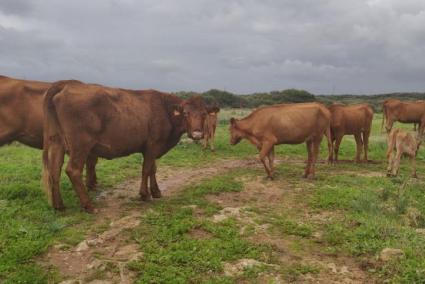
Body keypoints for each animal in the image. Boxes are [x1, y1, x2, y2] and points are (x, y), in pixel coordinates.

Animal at [41, 80, 210, 213]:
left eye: (204, 114)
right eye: (186, 113)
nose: (197, 134)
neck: (164, 110)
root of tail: (66, 85)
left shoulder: (152, 148)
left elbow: (153, 169)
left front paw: (156, 192)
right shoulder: (152, 145)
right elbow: (146, 169)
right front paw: (145, 194)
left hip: (57, 142)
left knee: (54, 170)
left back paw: (59, 206)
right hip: (80, 145)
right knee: (73, 170)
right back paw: (89, 206)